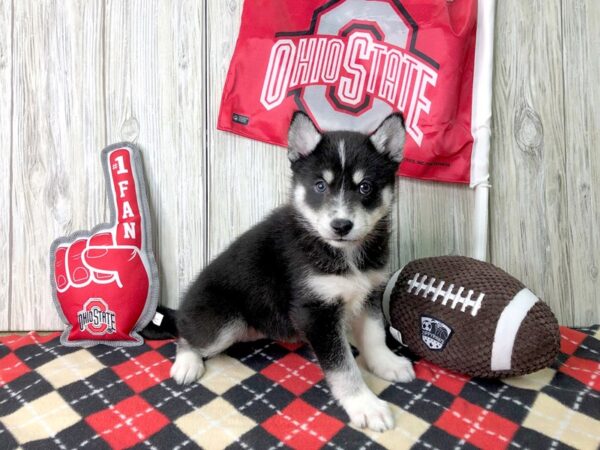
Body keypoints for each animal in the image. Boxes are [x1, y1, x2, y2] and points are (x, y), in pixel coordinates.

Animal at [171, 110, 414, 430]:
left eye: (365, 187)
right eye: (320, 185)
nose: (341, 225)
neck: (343, 253)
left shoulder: (370, 291)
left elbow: (374, 335)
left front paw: (386, 363)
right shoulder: (315, 312)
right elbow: (343, 366)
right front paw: (365, 405)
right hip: (223, 322)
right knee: (186, 335)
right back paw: (187, 363)